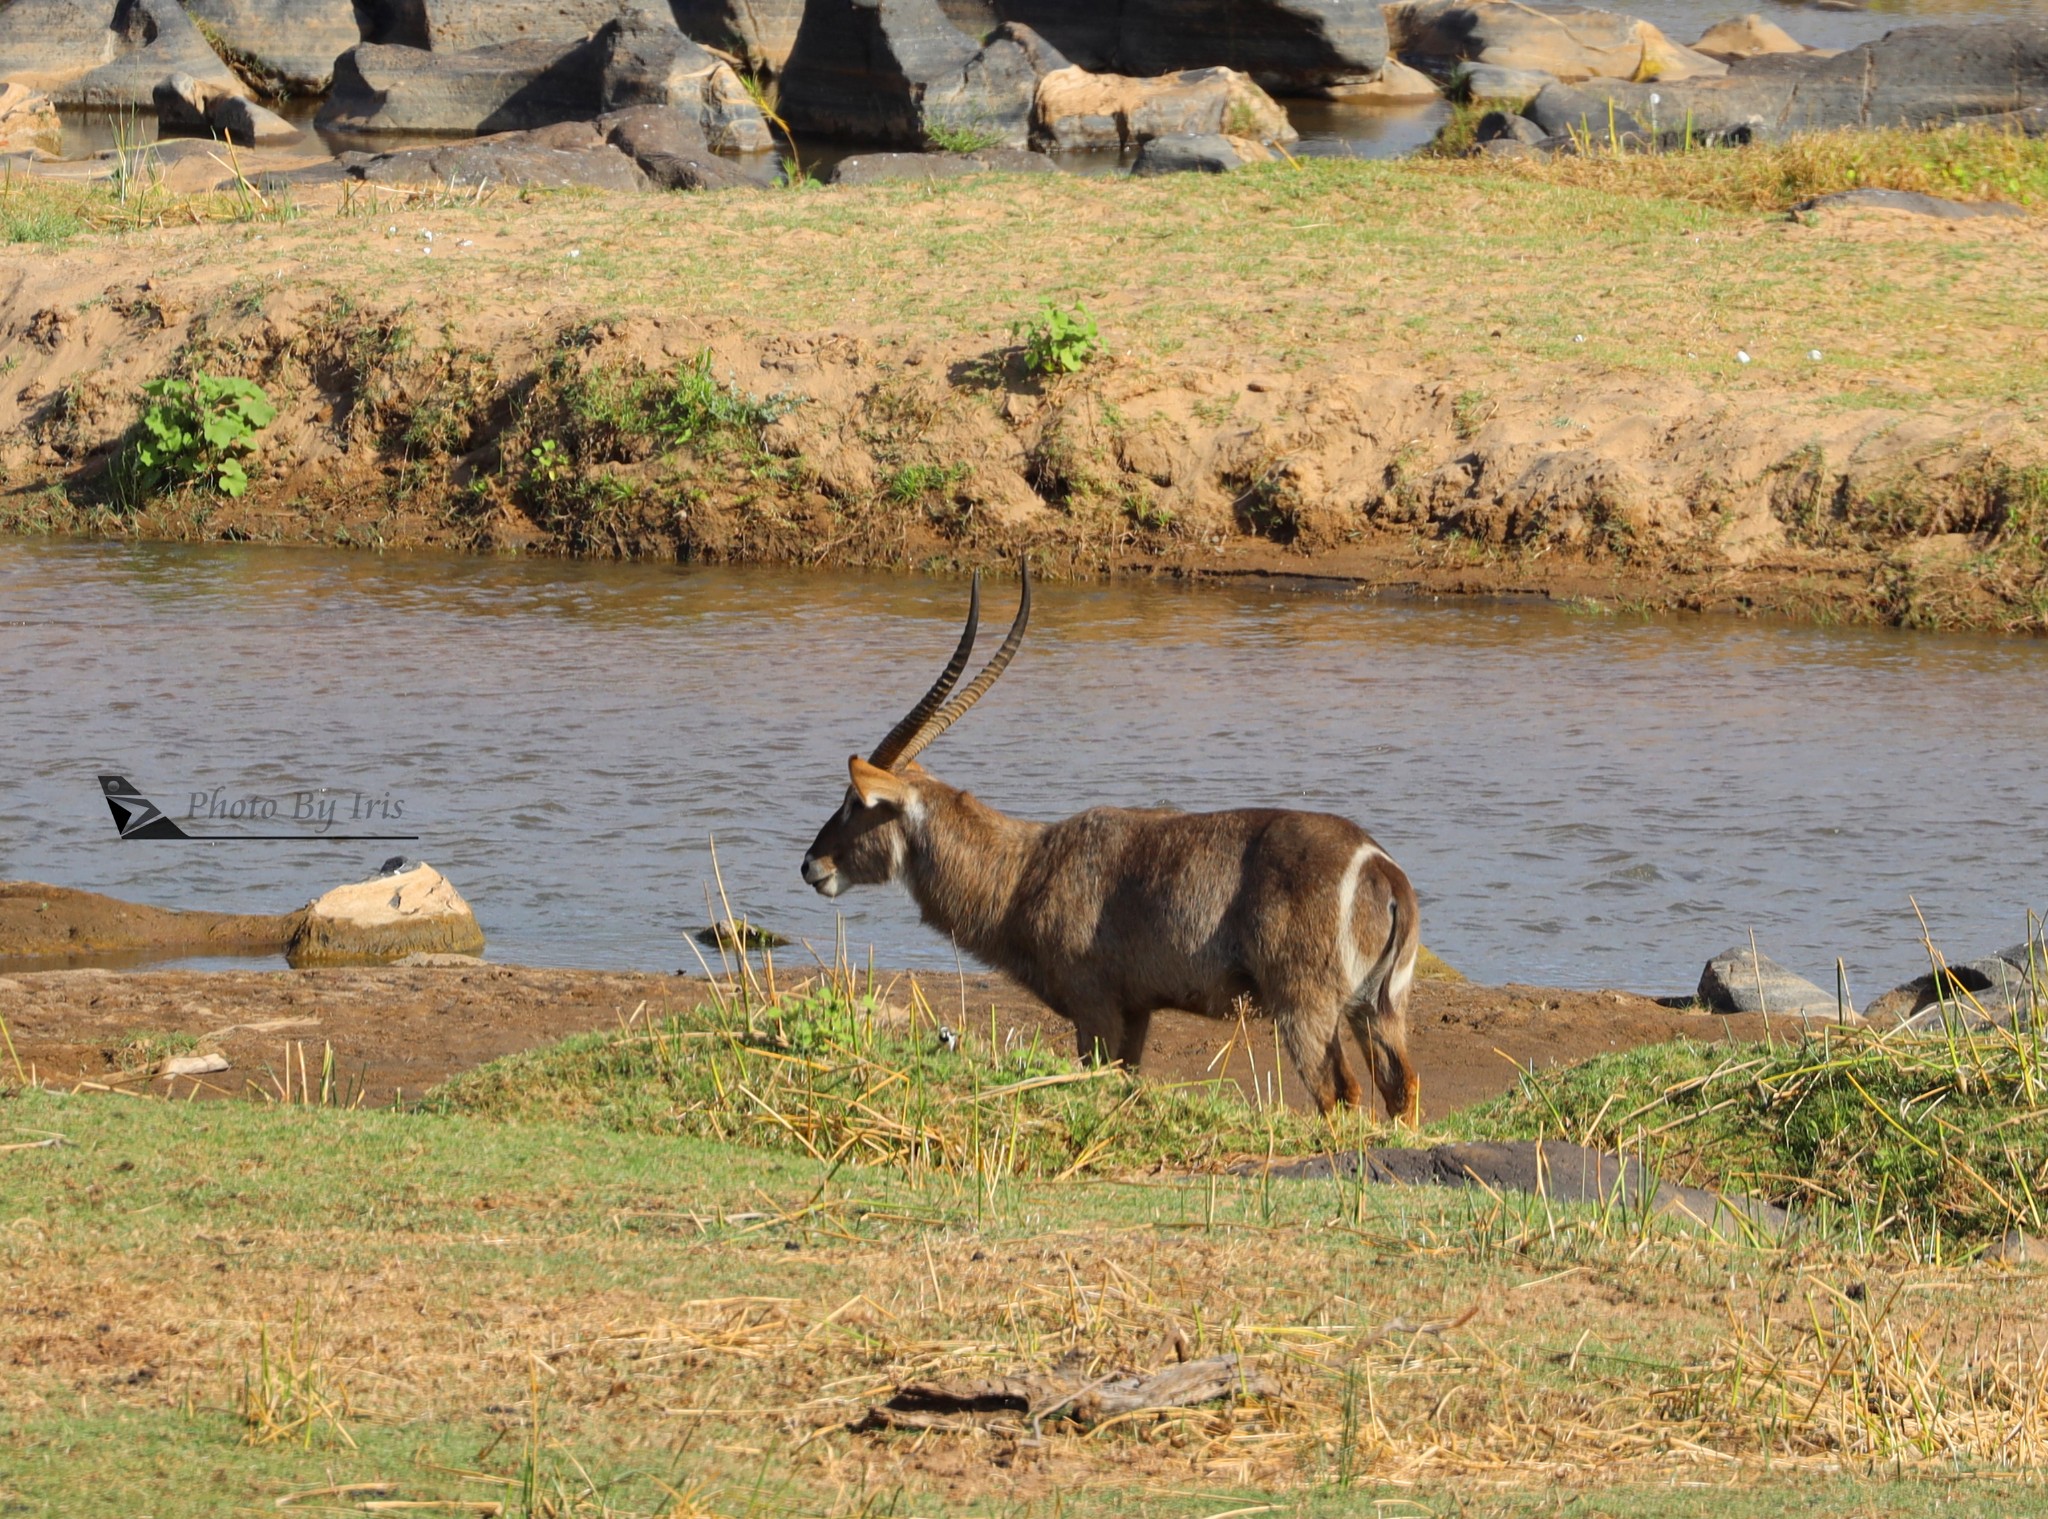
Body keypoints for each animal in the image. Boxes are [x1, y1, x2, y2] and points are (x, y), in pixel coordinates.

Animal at [798, 565, 1425, 1121]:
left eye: (856, 802)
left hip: (1304, 1007)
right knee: (1402, 1089)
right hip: (1378, 1009)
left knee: (1339, 1093)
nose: (810, 865)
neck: (1025, 869)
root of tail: (1380, 868)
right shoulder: (1137, 1010)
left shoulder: (1094, 1006)